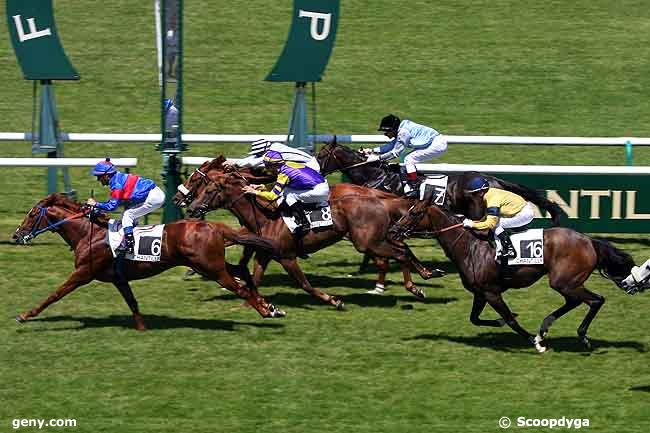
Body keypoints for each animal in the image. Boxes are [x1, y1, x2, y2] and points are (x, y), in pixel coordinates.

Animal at [11, 192, 284, 328]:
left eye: (32, 214)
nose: (16, 235)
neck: (90, 233)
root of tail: (214, 226)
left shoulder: (83, 273)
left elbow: (54, 294)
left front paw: (25, 314)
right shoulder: (118, 278)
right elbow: (132, 302)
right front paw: (142, 327)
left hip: (211, 269)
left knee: (240, 287)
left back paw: (266, 312)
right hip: (209, 264)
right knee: (241, 271)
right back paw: (271, 306)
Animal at [410, 202, 632, 352]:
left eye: (415, 213)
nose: (400, 229)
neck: (470, 246)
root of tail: (589, 241)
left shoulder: (491, 292)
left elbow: (510, 319)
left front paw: (535, 344)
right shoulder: (480, 293)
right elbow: (475, 319)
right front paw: (503, 324)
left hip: (564, 282)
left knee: (596, 300)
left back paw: (580, 336)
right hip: (567, 283)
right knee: (575, 301)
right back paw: (544, 328)